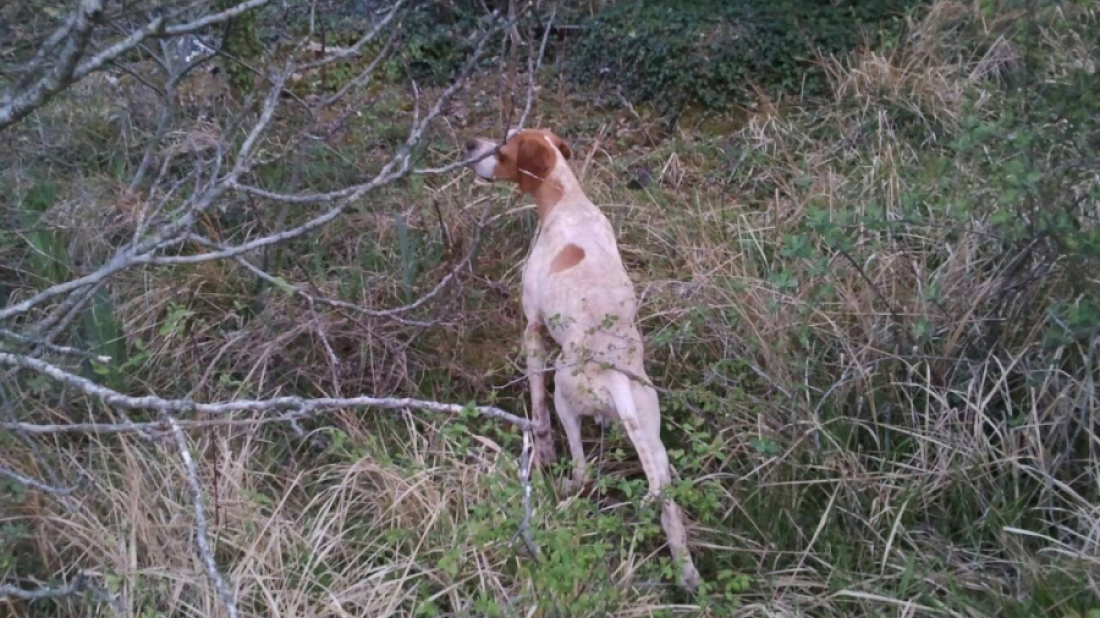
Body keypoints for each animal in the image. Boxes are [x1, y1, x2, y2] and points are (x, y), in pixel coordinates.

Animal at [466, 126, 704, 585]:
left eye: (503, 146)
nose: (471, 146)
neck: (566, 199)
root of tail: (616, 377)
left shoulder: (533, 330)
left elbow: (537, 407)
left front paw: (541, 451)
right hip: (656, 448)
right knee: (669, 511)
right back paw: (686, 575)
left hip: (565, 393)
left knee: (581, 467)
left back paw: (563, 487)